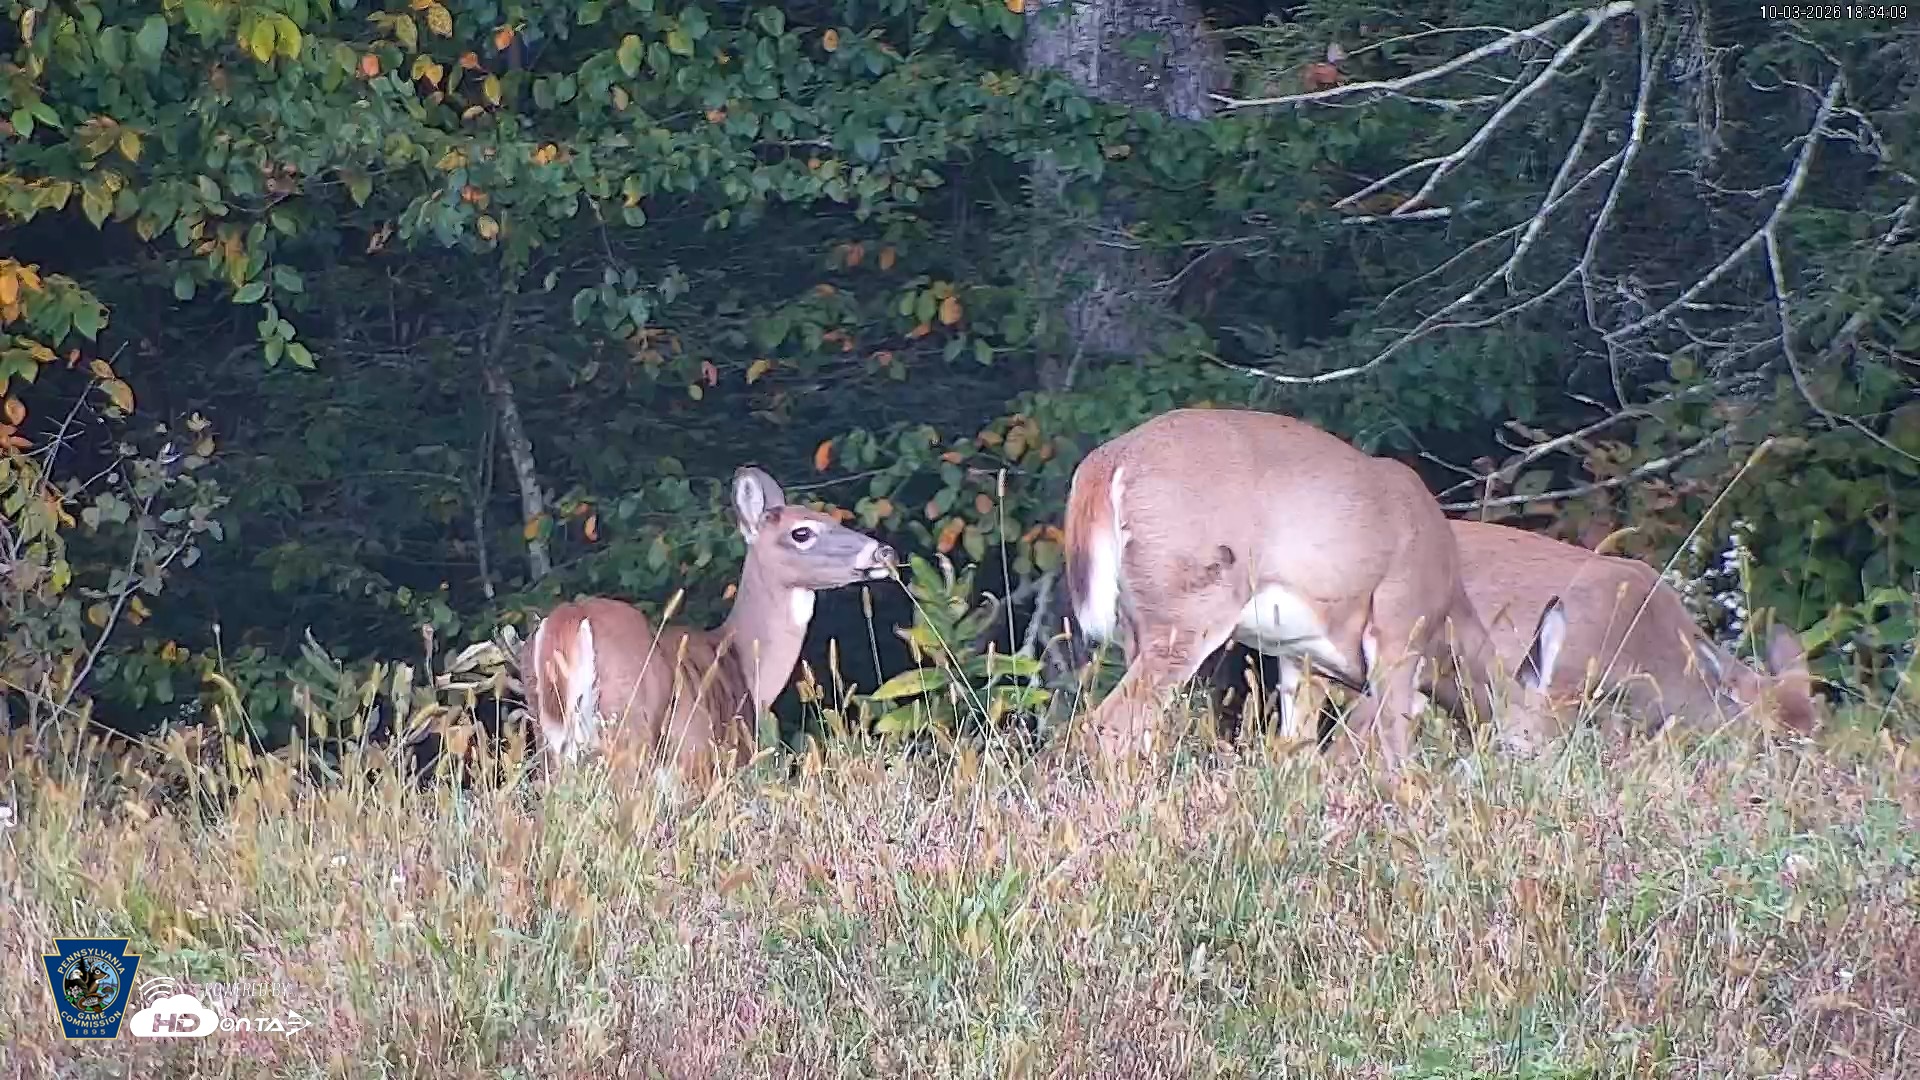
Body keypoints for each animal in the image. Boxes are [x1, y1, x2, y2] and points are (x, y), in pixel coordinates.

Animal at [523, 467, 896, 787]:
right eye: (802, 532)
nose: (883, 551)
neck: (744, 665)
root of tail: (572, 618)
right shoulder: (705, 762)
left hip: (548, 739)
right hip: (628, 730)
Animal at [1059, 407, 1568, 770]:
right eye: (1541, 735)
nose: (1544, 771)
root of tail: (1107, 463)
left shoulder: (1301, 658)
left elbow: (1296, 752)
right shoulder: (1399, 627)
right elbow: (1389, 747)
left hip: (1138, 622)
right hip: (1190, 609)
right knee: (1107, 726)